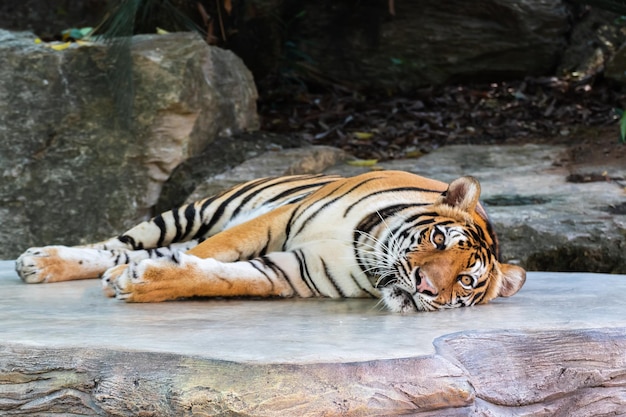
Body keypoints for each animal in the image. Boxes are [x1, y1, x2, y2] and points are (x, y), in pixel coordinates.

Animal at [13, 170, 520, 312]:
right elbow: (210, 252)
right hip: (198, 211)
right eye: (438, 238)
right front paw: (125, 277)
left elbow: (223, 276)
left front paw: (143, 282)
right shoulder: (278, 219)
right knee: (118, 243)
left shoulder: (293, 271)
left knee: (145, 250)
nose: (424, 287)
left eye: (466, 281)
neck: (366, 254)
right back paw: (39, 261)